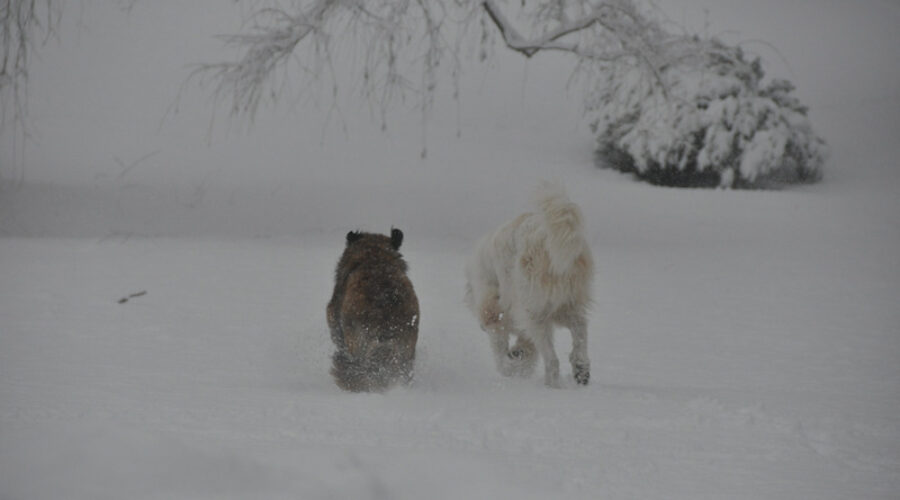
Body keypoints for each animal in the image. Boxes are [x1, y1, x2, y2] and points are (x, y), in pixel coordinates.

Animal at [468, 182, 596, 388]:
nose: (481, 326)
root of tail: (543, 236)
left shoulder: (495, 312)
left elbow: (501, 354)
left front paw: (511, 364)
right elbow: (525, 348)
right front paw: (518, 354)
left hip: (534, 310)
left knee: (552, 360)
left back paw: (552, 384)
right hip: (569, 304)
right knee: (580, 330)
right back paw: (580, 369)